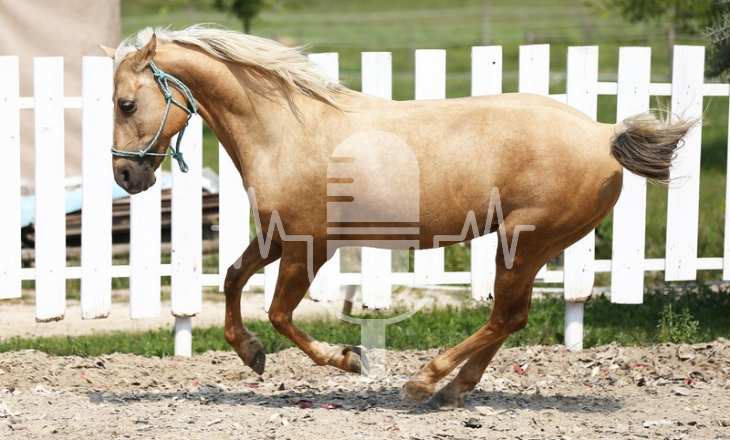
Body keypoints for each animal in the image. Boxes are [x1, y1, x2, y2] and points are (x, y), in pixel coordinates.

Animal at [100, 25, 693, 408]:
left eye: (126, 103)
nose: (125, 176)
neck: (287, 131)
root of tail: (604, 134)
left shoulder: (309, 246)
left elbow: (281, 314)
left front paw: (351, 359)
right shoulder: (276, 237)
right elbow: (231, 279)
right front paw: (252, 355)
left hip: (523, 241)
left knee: (506, 316)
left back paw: (423, 382)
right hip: (530, 246)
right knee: (512, 318)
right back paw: (451, 390)